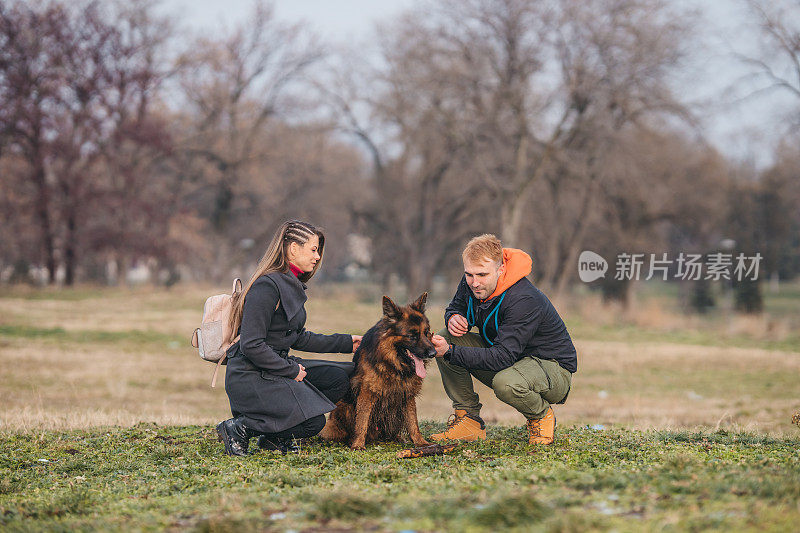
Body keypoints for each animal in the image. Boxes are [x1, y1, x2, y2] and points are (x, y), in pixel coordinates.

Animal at [322, 294, 438, 446]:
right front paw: (358, 444)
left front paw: (420, 442)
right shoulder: (367, 392)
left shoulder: (407, 394)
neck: (394, 365)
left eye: (426, 332)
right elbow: (362, 420)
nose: (433, 353)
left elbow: (413, 421)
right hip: (343, 406)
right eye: (412, 335)